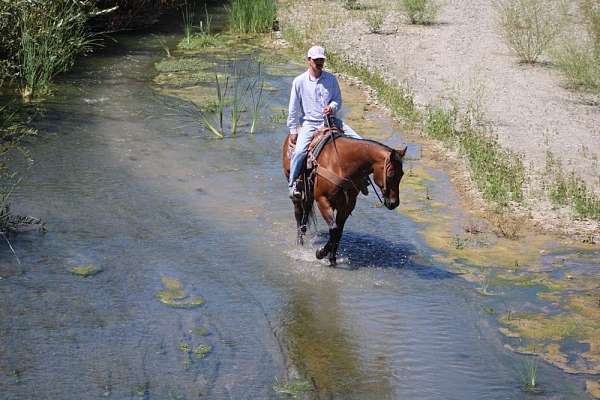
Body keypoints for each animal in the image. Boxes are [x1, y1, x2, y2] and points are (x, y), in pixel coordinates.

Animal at [282, 131, 408, 266]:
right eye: (390, 174)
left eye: (402, 174)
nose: (394, 203)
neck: (340, 165)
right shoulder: (322, 200)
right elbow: (334, 229)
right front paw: (320, 253)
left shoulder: (347, 206)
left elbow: (339, 232)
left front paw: (332, 258)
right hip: (296, 188)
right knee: (298, 212)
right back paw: (300, 241)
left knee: (306, 210)